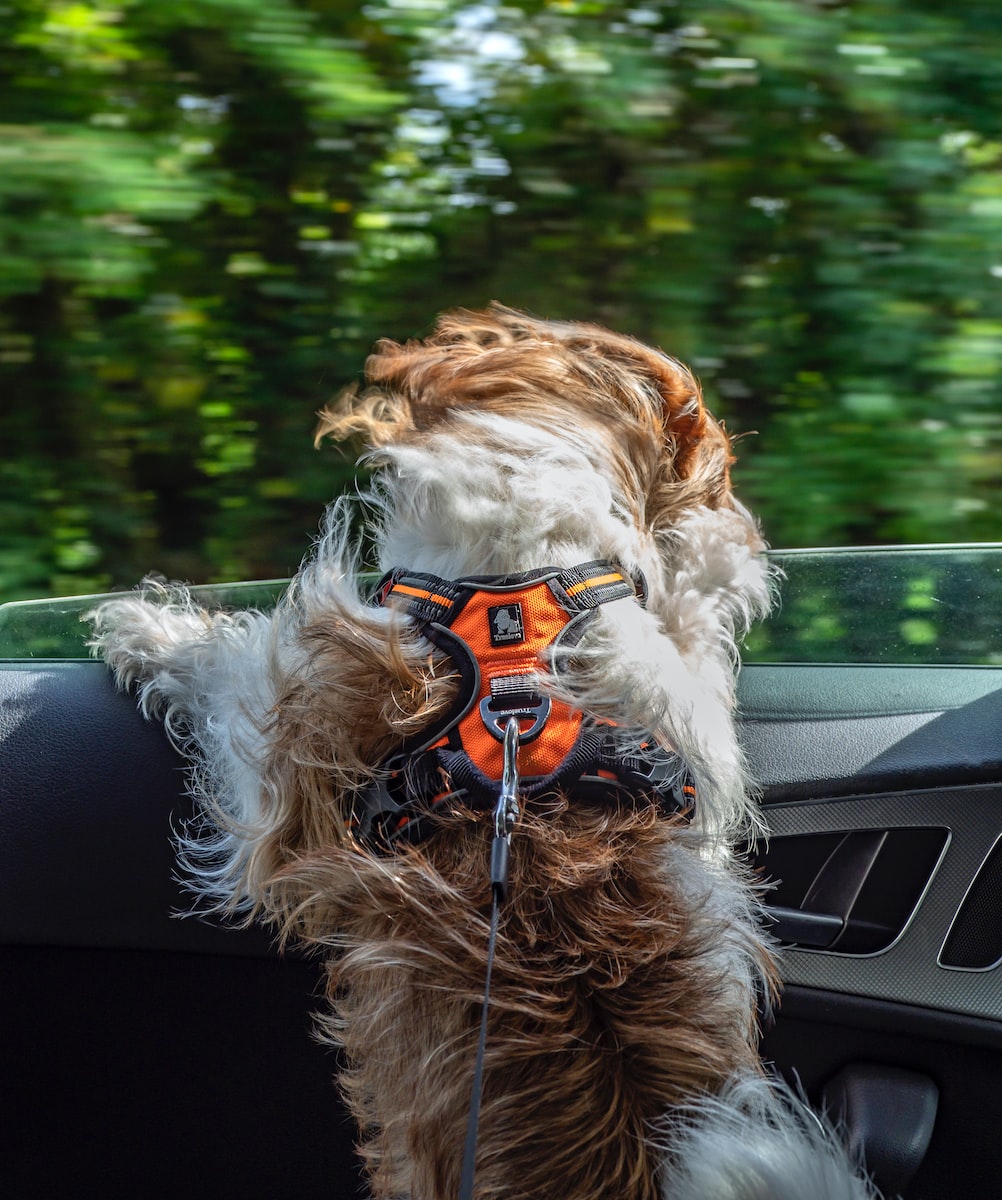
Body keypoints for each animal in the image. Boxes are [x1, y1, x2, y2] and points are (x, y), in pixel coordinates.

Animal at [90, 304, 873, 1195]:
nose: (729, 500)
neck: (520, 602)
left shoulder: (287, 760)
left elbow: (230, 665)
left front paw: (144, 627)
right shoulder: (685, 716)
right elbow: (696, 627)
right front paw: (717, 553)